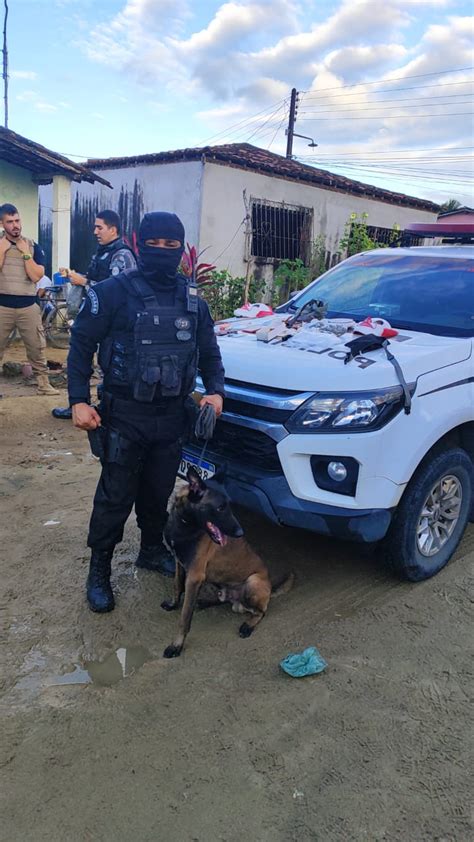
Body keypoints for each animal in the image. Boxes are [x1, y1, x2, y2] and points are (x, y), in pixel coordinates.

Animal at [163, 466, 294, 656]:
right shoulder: (179, 564)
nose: (240, 533)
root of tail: (270, 589)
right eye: (220, 508)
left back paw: (248, 625)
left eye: (228, 506)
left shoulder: (194, 576)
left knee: (261, 612)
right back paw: (206, 601)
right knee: (223, 599)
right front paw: (173, 604)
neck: (184, 525)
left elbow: (185, 617)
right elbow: (176, 586)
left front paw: (176, 645)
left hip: (252, 583)